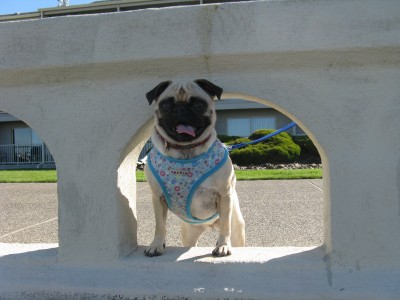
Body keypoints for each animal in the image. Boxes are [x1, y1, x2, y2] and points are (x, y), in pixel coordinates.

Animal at [144, 79, 244, 258]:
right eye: (165, 104)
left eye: (198, 104)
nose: (181, 109)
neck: (186, 150)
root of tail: (209, 225)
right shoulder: (158, 198)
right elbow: (159, 226)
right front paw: (156, 245)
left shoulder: (224, 195)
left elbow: (225, 225)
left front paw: (223, 245)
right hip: (189, 234)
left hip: (237, 230)